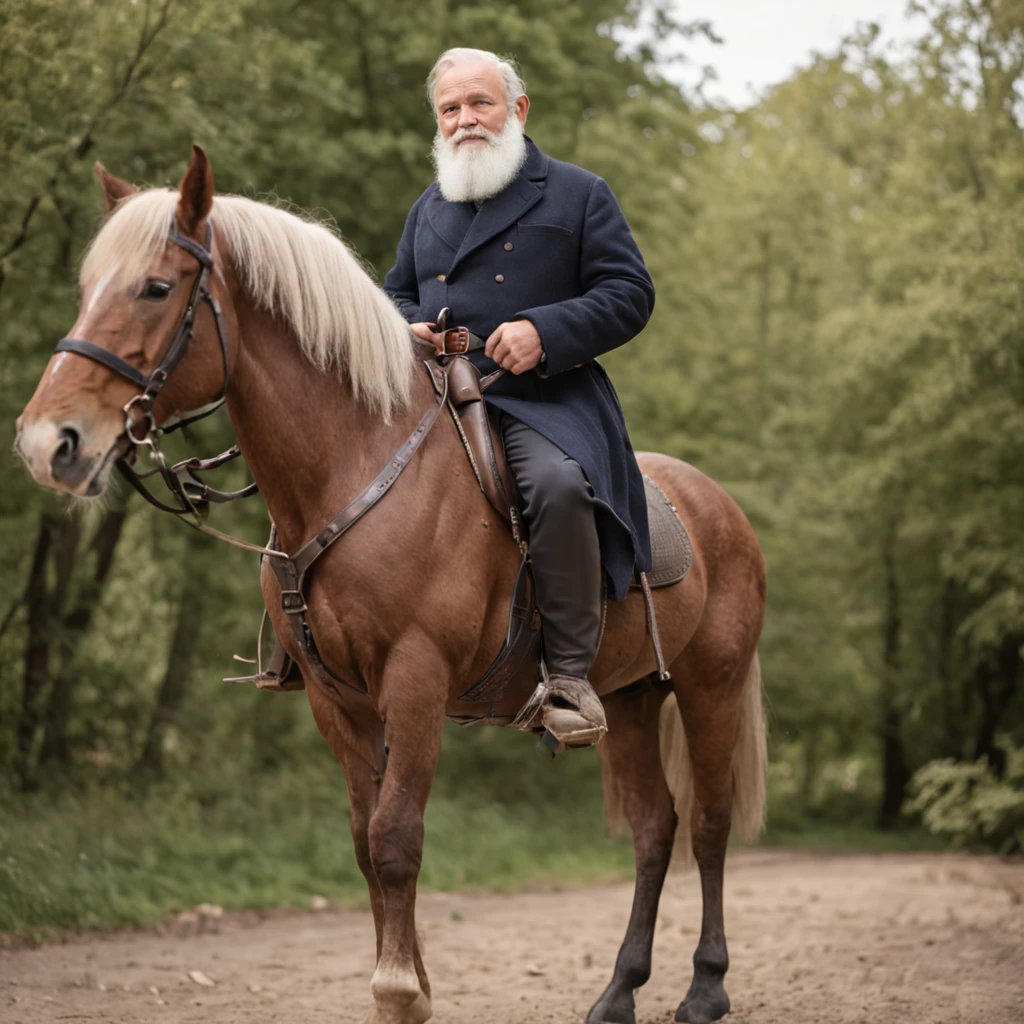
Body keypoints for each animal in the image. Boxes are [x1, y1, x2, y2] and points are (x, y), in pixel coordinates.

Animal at [16, 146, 770, 1024]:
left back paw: (705, 987)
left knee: (710, 823)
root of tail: (717, 505)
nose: (47, 443)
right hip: (632, 695)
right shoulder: (336, 697)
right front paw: (403, 980)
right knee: (656, 828)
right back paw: (618, 991)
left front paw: (402, 991)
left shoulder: (413, 680)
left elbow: (396, 836)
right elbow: (363, 841)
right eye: (86, 288)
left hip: (710, 685)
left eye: (156, 288)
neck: (356, 463)